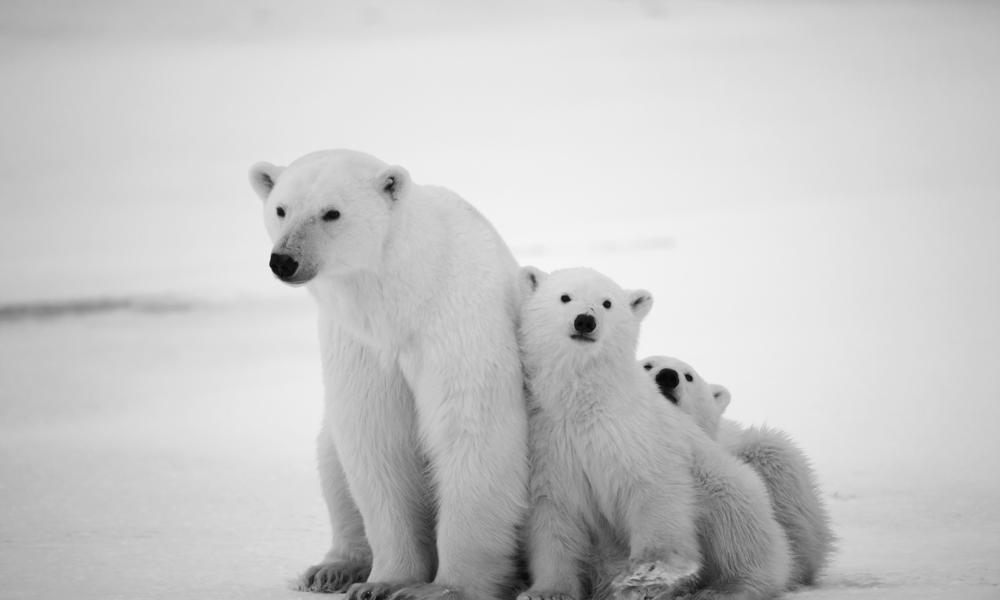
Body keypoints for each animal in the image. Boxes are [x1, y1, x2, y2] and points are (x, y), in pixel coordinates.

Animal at [250, 149, 532, 600]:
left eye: (331, 212)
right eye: (281, 209)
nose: (285, 260)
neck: (405, 297)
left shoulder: (458, 322)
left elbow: (472, 432)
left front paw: (441, 588)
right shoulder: (360, 344)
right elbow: (376, 439)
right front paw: (383, 582)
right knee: (332, 460)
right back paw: (332, 568)